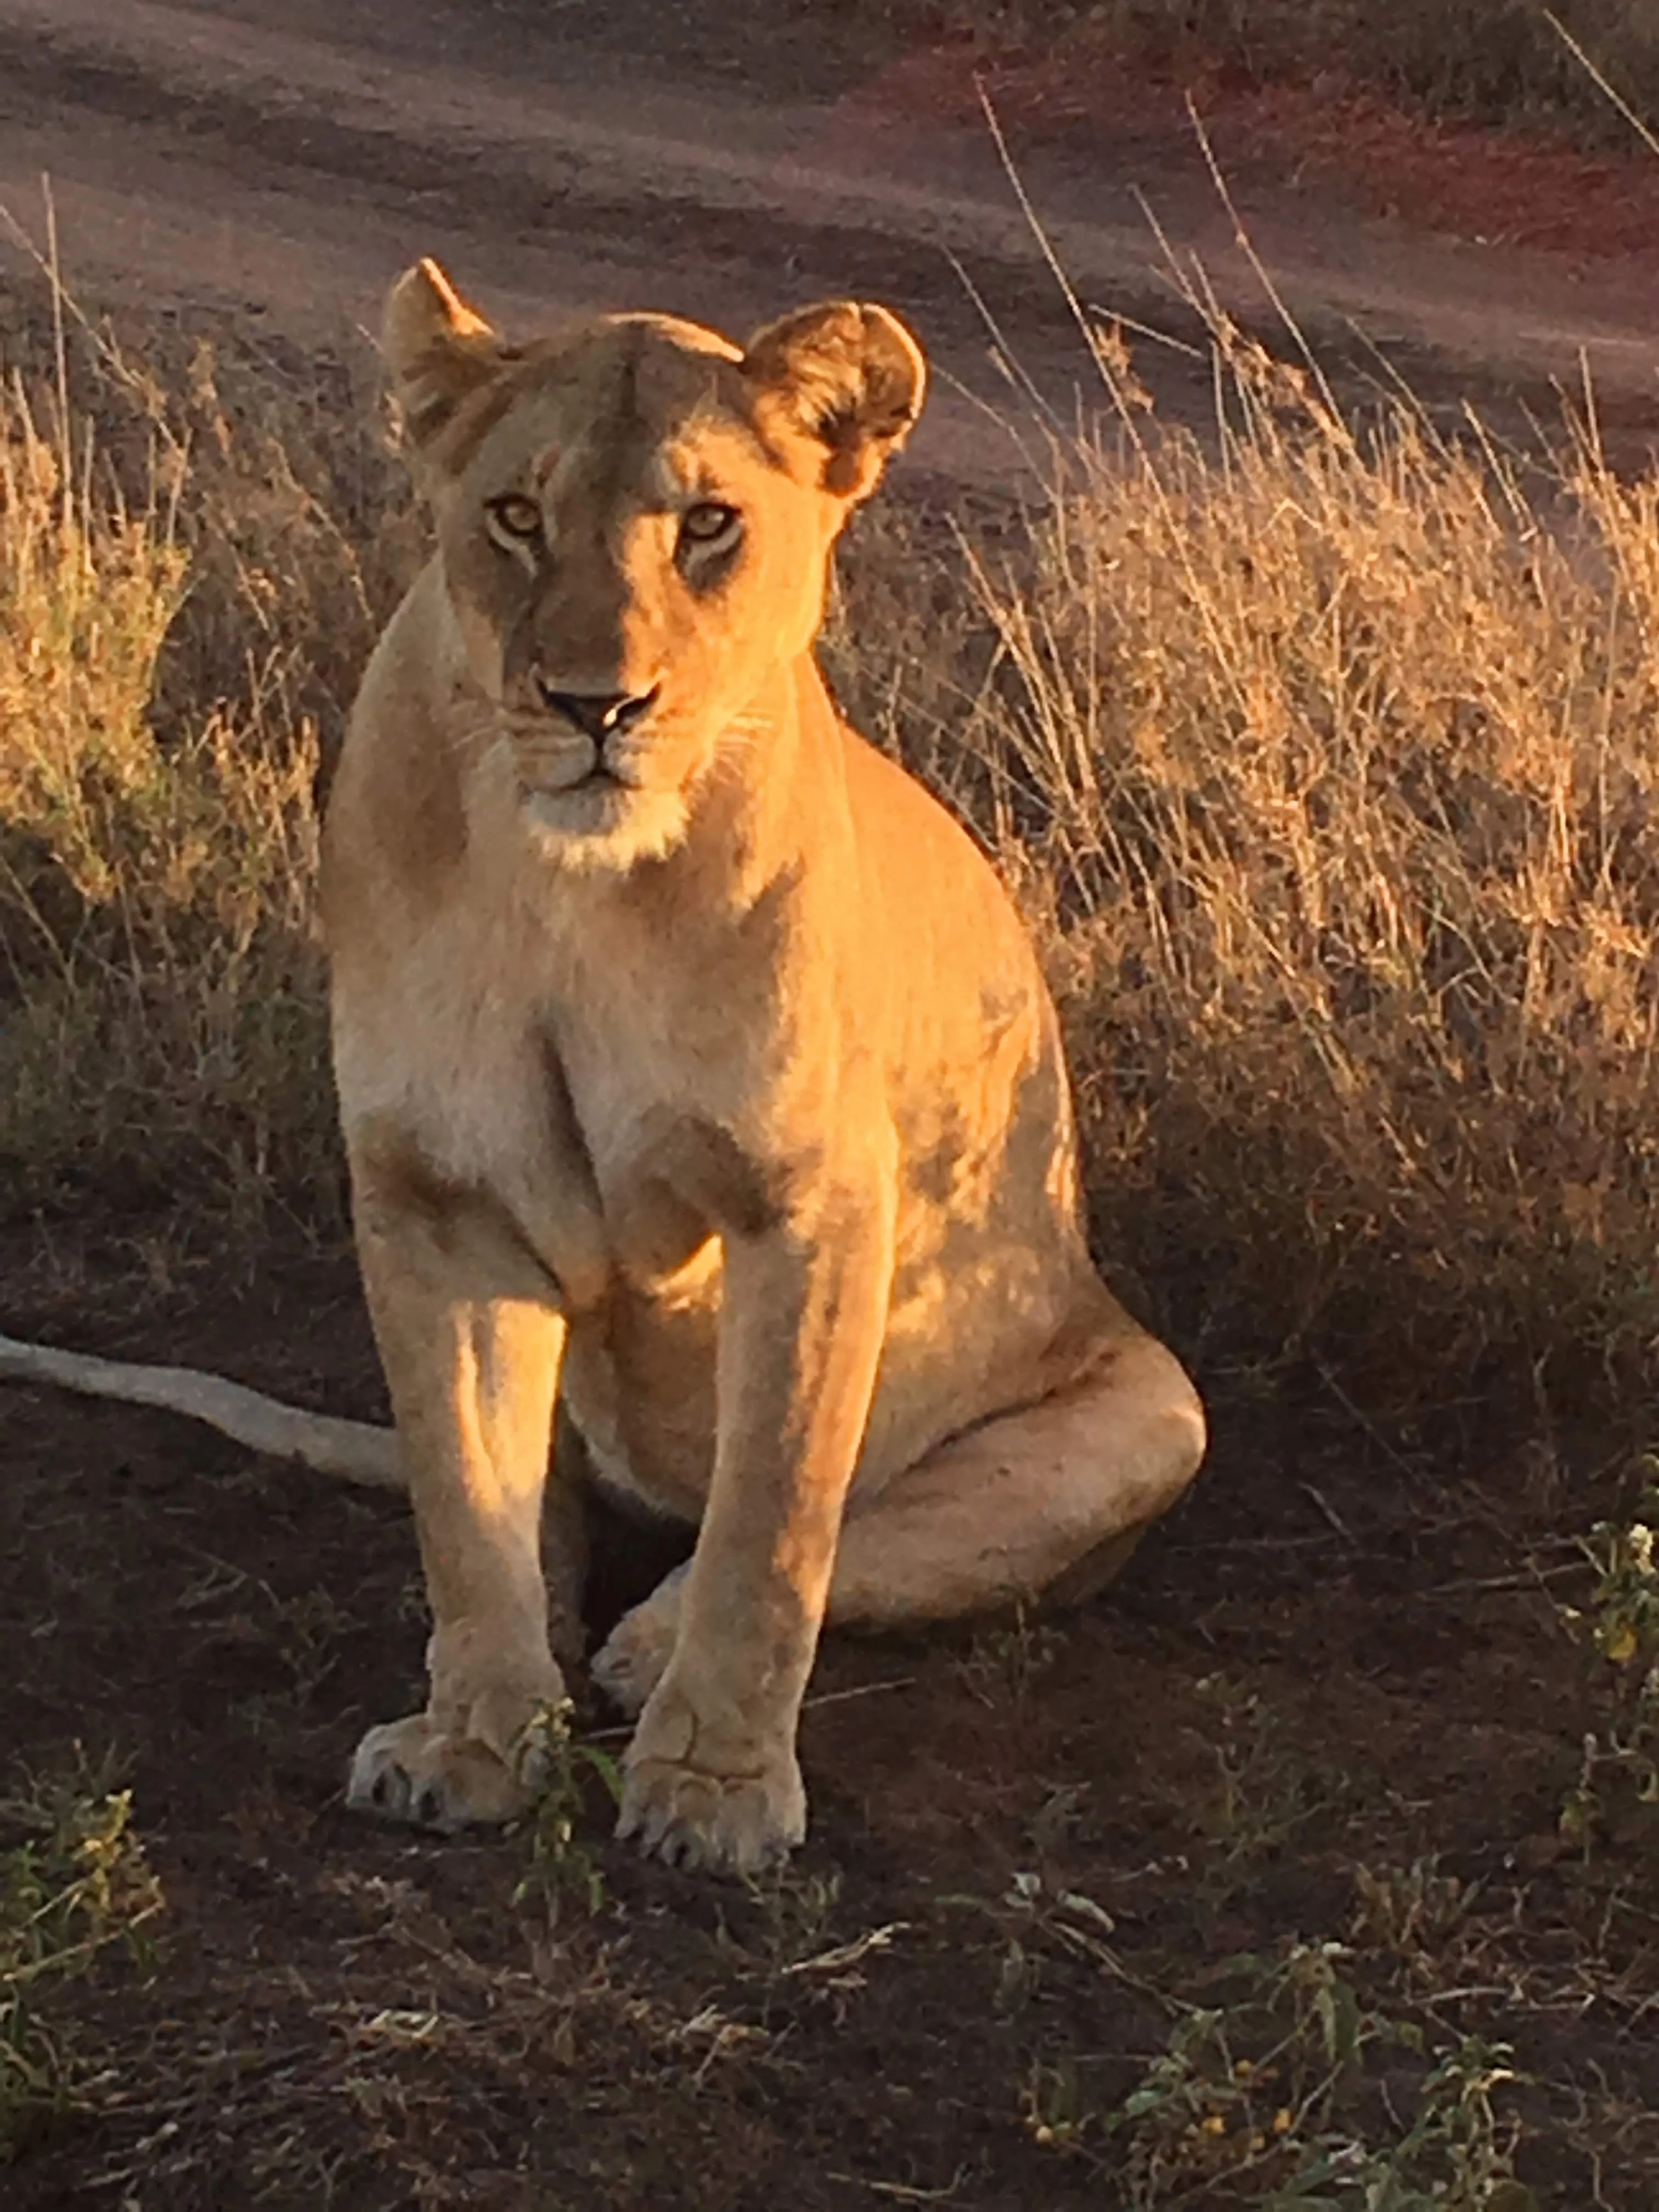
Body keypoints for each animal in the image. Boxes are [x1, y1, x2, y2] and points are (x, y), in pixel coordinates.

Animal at [0, 261, 1206, 1875]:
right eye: (518, 515)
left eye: (709, 524)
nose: (595, 704)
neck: (572, 890)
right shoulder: (435, 1197)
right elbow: (467, 1504)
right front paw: (473, 1741)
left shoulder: (810, 1202)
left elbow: (775, 1523)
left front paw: (711, 1787)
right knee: (549, 1511)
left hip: (1157, 1412)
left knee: (837, 1538)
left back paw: (646, 1641)